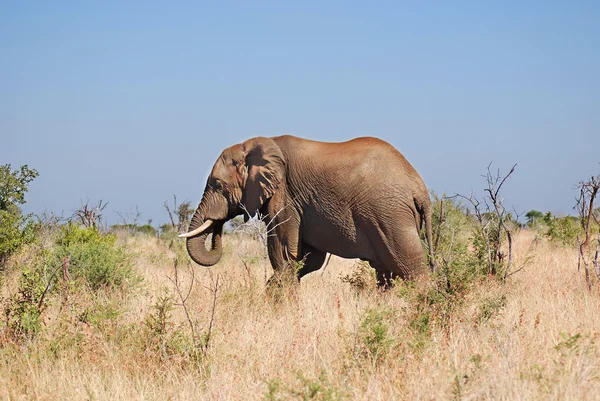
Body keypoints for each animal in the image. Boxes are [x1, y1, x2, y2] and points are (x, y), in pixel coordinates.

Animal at [179, 136, 436, 286]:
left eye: (217, 185)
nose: (218, 224)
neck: (256, 144)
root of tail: (419, 188)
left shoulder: (285, 195)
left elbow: (284, 252)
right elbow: (309, 258)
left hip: (390, 214)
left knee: (412, 268)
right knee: (385, 273)